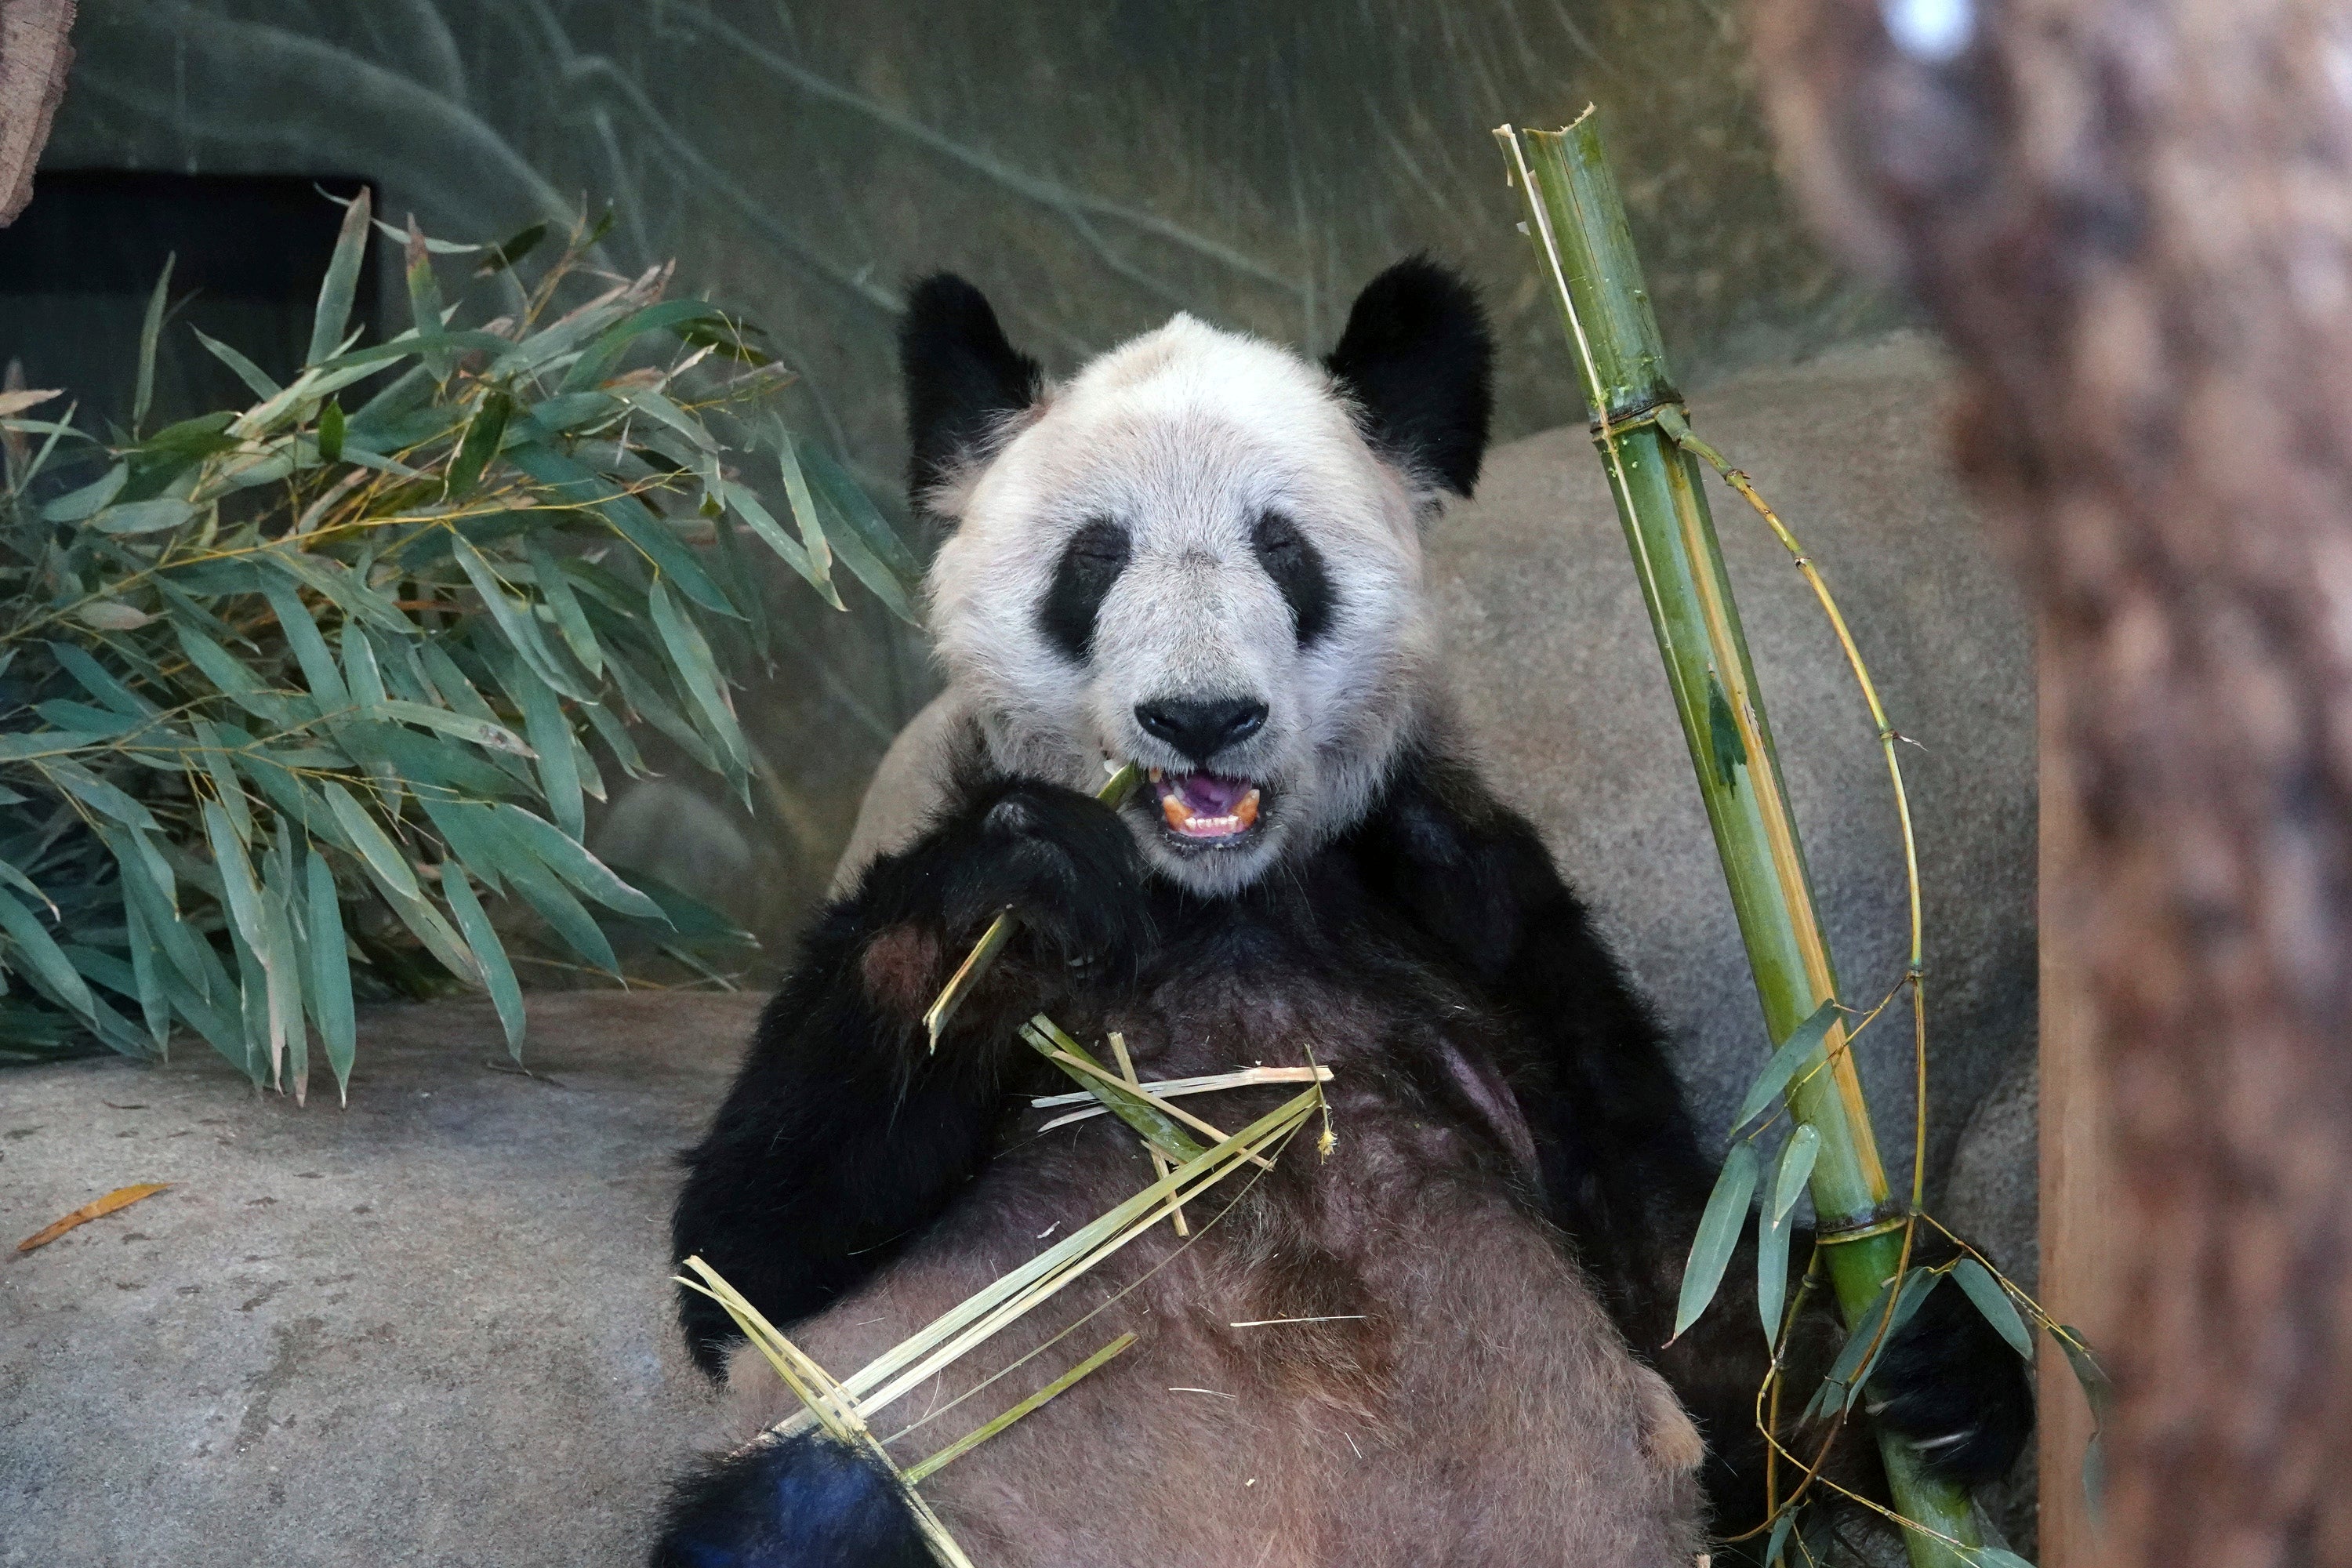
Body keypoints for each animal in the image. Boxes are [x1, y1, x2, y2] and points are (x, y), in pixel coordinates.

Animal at [654, 263, 2032, 1561]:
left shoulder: (1482, 922)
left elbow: (1701, 1316)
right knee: (807, 1509)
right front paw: (1015, 892)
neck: (1216, 903)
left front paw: (1936, 1346)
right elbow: (750, 1255)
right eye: (1095, 557)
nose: (1200, 716)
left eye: (1282, 549)